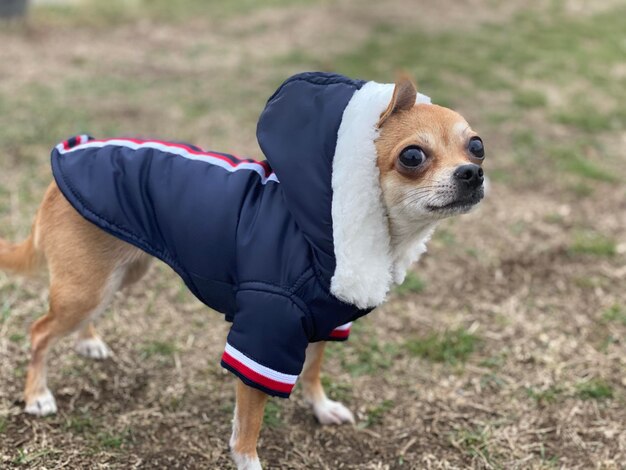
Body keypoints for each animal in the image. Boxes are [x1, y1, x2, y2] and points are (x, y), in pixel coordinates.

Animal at [0, 71, 482, 468]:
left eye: (476, 146)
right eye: (412, 157)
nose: (472, 174)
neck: (326, 229)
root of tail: (60, 166)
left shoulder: (324, 323)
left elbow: (312, 372)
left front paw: (321, 407)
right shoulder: (261, 341)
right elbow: (248, 428)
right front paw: (250, 461)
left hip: (117, 273)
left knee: (79, 317)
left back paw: (88, 341)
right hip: (88, 285)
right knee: (40, 331)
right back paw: (37, 394)